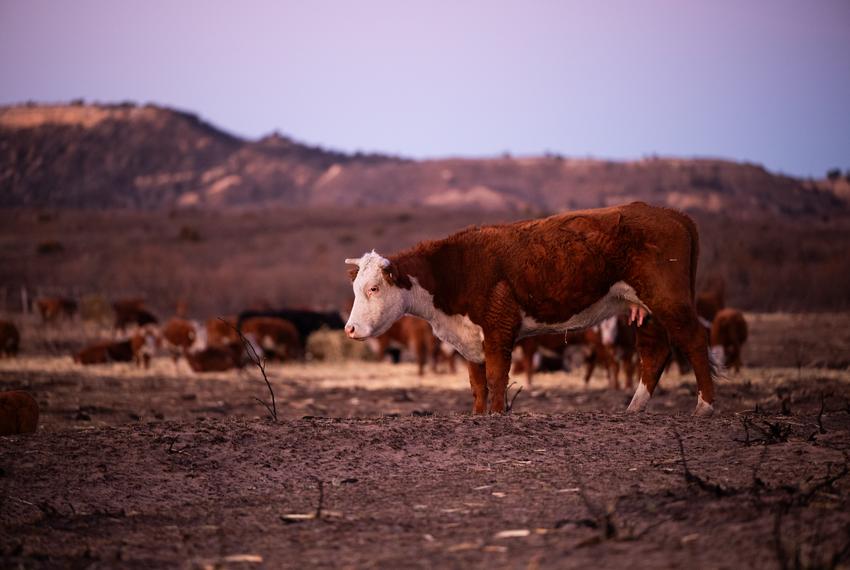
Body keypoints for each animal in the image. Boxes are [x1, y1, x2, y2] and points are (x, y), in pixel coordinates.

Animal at [344, 202, 716, 416]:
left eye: (374, 288)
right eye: (355, 288)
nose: (350, 329)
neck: (454, 269)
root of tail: (674, 215)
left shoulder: (498, 327)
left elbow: (496, 378)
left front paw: (497, 416)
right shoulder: (470, 338)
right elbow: (477, 383)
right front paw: (478, 416)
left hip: (668, 297)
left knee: (695, 340)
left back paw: (704, 407)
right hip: (645, 308)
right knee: (654, 352)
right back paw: (634, 408)